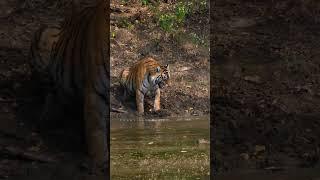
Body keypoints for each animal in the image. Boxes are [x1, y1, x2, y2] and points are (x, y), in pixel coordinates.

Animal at [29, 0, 109, 174]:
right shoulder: (95, 92)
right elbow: (97, 131)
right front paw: (99, 163)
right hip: (45, 36)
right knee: (51, 92)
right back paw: (49, 118)